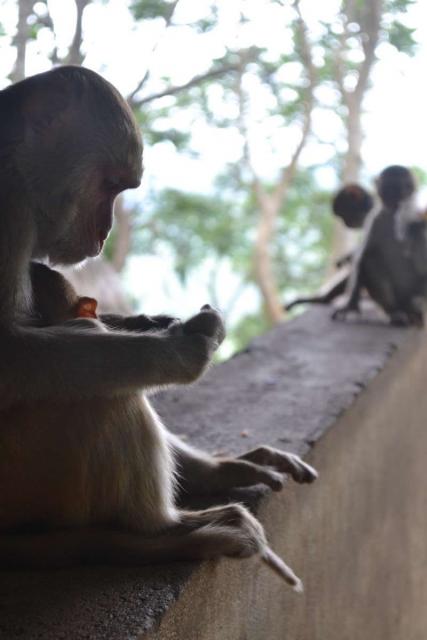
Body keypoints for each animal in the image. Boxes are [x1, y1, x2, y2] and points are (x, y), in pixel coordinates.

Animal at [0, 67, 317, 591]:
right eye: (109, 184)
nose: (105, 231)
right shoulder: (8, 208)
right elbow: (15, 356)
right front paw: (183, 348)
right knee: (100, 397)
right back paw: (159, 536)